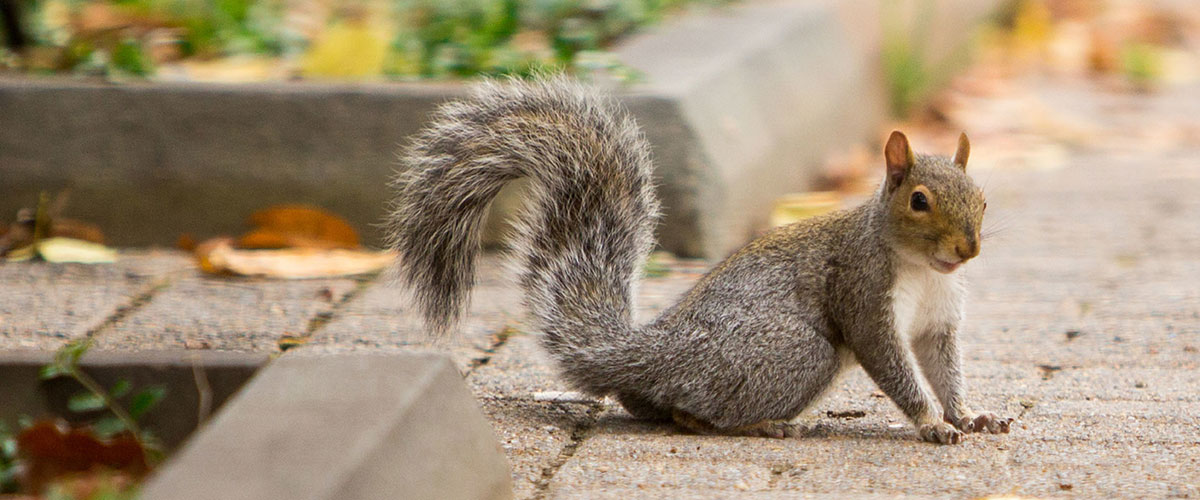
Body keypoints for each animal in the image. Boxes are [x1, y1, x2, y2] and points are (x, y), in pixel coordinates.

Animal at [386, 77, 1012, 444]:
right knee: (693, 411)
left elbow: (943, 366)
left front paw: (968, 416)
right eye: (919, 201)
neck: (923, 271)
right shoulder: (863, 293)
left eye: (982, 199)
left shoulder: (938, 321)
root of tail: (648, 355)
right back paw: (764, 424)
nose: (970, 248)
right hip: (793, 352)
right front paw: (931, 424)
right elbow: (893, 365)